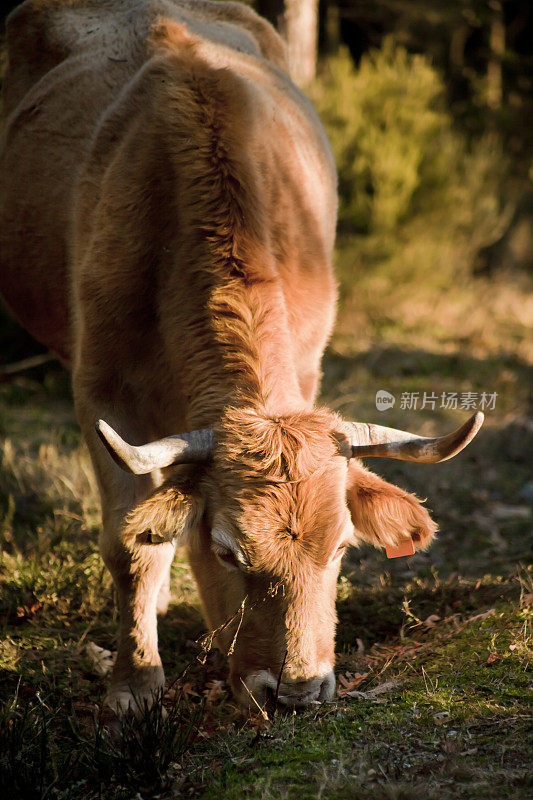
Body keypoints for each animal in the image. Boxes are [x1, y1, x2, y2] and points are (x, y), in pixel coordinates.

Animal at [0, 0, 482, 712]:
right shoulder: (100, 391)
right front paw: (134, 684)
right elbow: (131, 545)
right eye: (229, 552)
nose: (297, 690)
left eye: (342, 549)